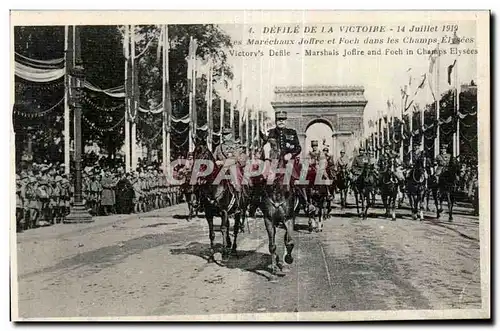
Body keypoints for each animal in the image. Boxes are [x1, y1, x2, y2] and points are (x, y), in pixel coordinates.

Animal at [258, 137, 296, 282]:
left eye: (275, 149)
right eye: (262, 150)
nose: (266, 174)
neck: (277, 190)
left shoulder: (288, 219)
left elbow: (289, 242)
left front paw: (288, 259)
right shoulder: (268, 220)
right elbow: (272, 246)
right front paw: (273, 271)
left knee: (287, 238)